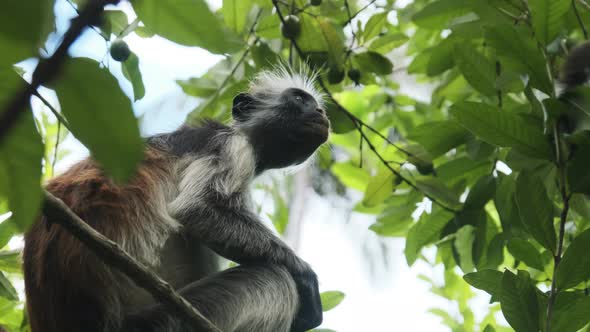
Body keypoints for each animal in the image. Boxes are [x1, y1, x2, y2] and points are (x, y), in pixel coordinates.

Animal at [23, 67, 330, 332]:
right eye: (299, 98)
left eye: (315, 104)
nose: (321, 112)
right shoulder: (229, 145)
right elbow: (197, 210)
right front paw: (306, 277)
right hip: (163, 322)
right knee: (276, 280)